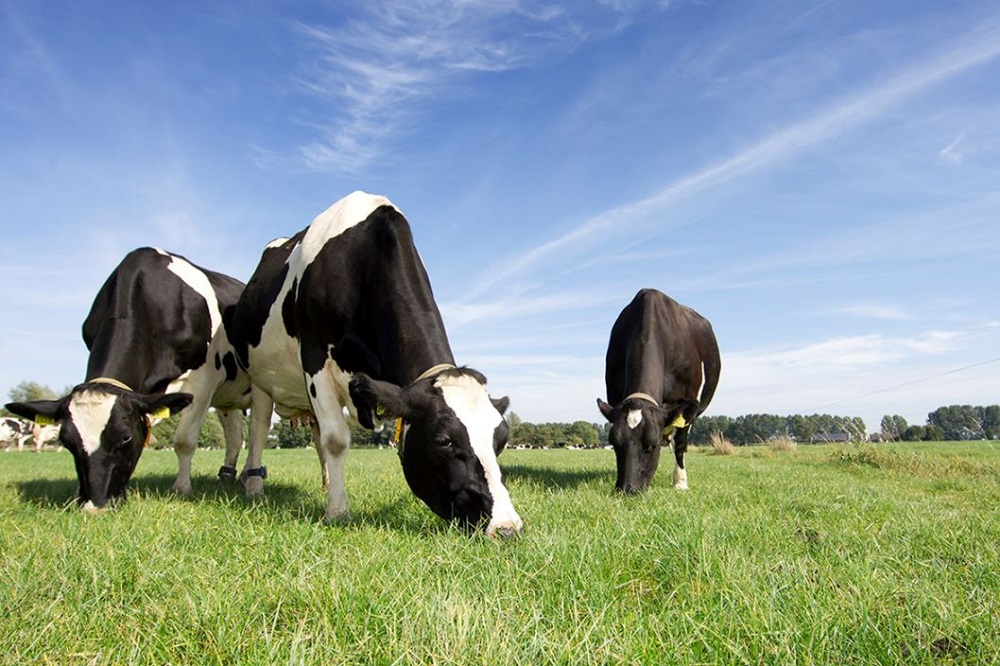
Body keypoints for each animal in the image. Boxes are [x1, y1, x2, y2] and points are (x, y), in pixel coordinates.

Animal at [7, 246, 252, 506]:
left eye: (125, 437)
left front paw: (181, 488)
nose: (94, 504)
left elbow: (184, 440)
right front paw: (76, 493)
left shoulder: (202, 380)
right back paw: (227, 476)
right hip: (228, 394)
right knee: (235, 435)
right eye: (67, 440)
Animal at [228, 188, 524, 536]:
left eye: (502, 439)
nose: (507, 526)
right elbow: (336, 439)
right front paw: (338, 512)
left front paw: (333, 498)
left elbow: (328, 438)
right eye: (444, 440)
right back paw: (254, 488)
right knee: (259, 430)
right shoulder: (314, 356)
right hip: (260, 377)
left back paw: (326, 485)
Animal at [596, 290, 724, 492]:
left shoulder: (689, 398)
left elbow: (681, 443)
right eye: (615, 445)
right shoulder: (614, 395)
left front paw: (680, 482)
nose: (627, 489)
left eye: (652, 446)